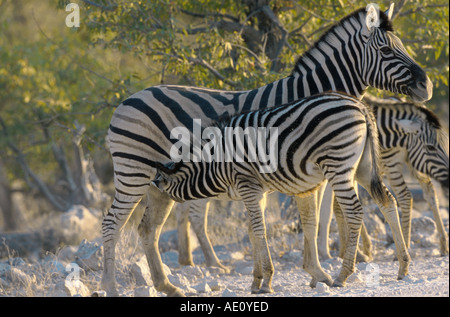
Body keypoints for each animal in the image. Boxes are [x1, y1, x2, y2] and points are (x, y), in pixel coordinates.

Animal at [152, 90, 412, 292]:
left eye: (158, 192)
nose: (149, 214)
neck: (215, 164)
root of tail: (361, 106)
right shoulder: (258, 191)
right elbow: (252, 230)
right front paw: (256, 281)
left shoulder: (248, 185)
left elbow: (258, 230)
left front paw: (266, 281)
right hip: (364, 167)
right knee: (387, 202)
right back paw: (403, 265)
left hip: (338, 165)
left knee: (355, 211)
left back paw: (343, 275)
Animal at [318, 98, 448, 260]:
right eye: (431, 147)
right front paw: (362, 248)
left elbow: (334, 207)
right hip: (412, 164)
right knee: (429, 191)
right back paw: (442, 244)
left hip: (391, 164)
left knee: (404, 196)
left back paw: (405, 246)